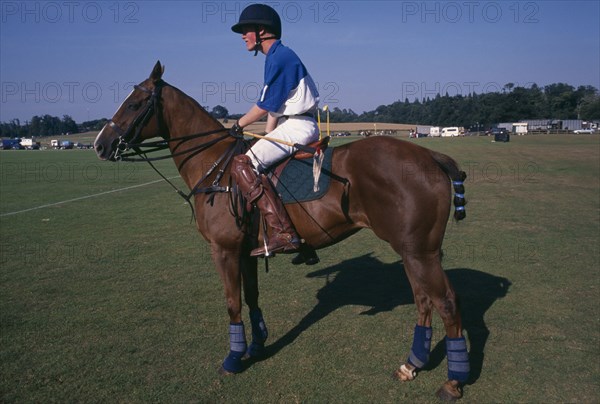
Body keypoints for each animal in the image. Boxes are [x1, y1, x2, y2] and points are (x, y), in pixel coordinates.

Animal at [94, 61, 472, 400]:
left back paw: (452, 381)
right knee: (424, 298)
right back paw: (412, 364)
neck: (215, 169)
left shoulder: (223, 249)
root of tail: (432, 157)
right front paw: (257, 345)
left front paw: (233, 358)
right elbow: (251, 296)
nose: (100, 144)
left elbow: (232, 302)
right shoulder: (246, 251)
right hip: (413, 249)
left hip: (418, 250)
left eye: (134, 104)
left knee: (447, 301)